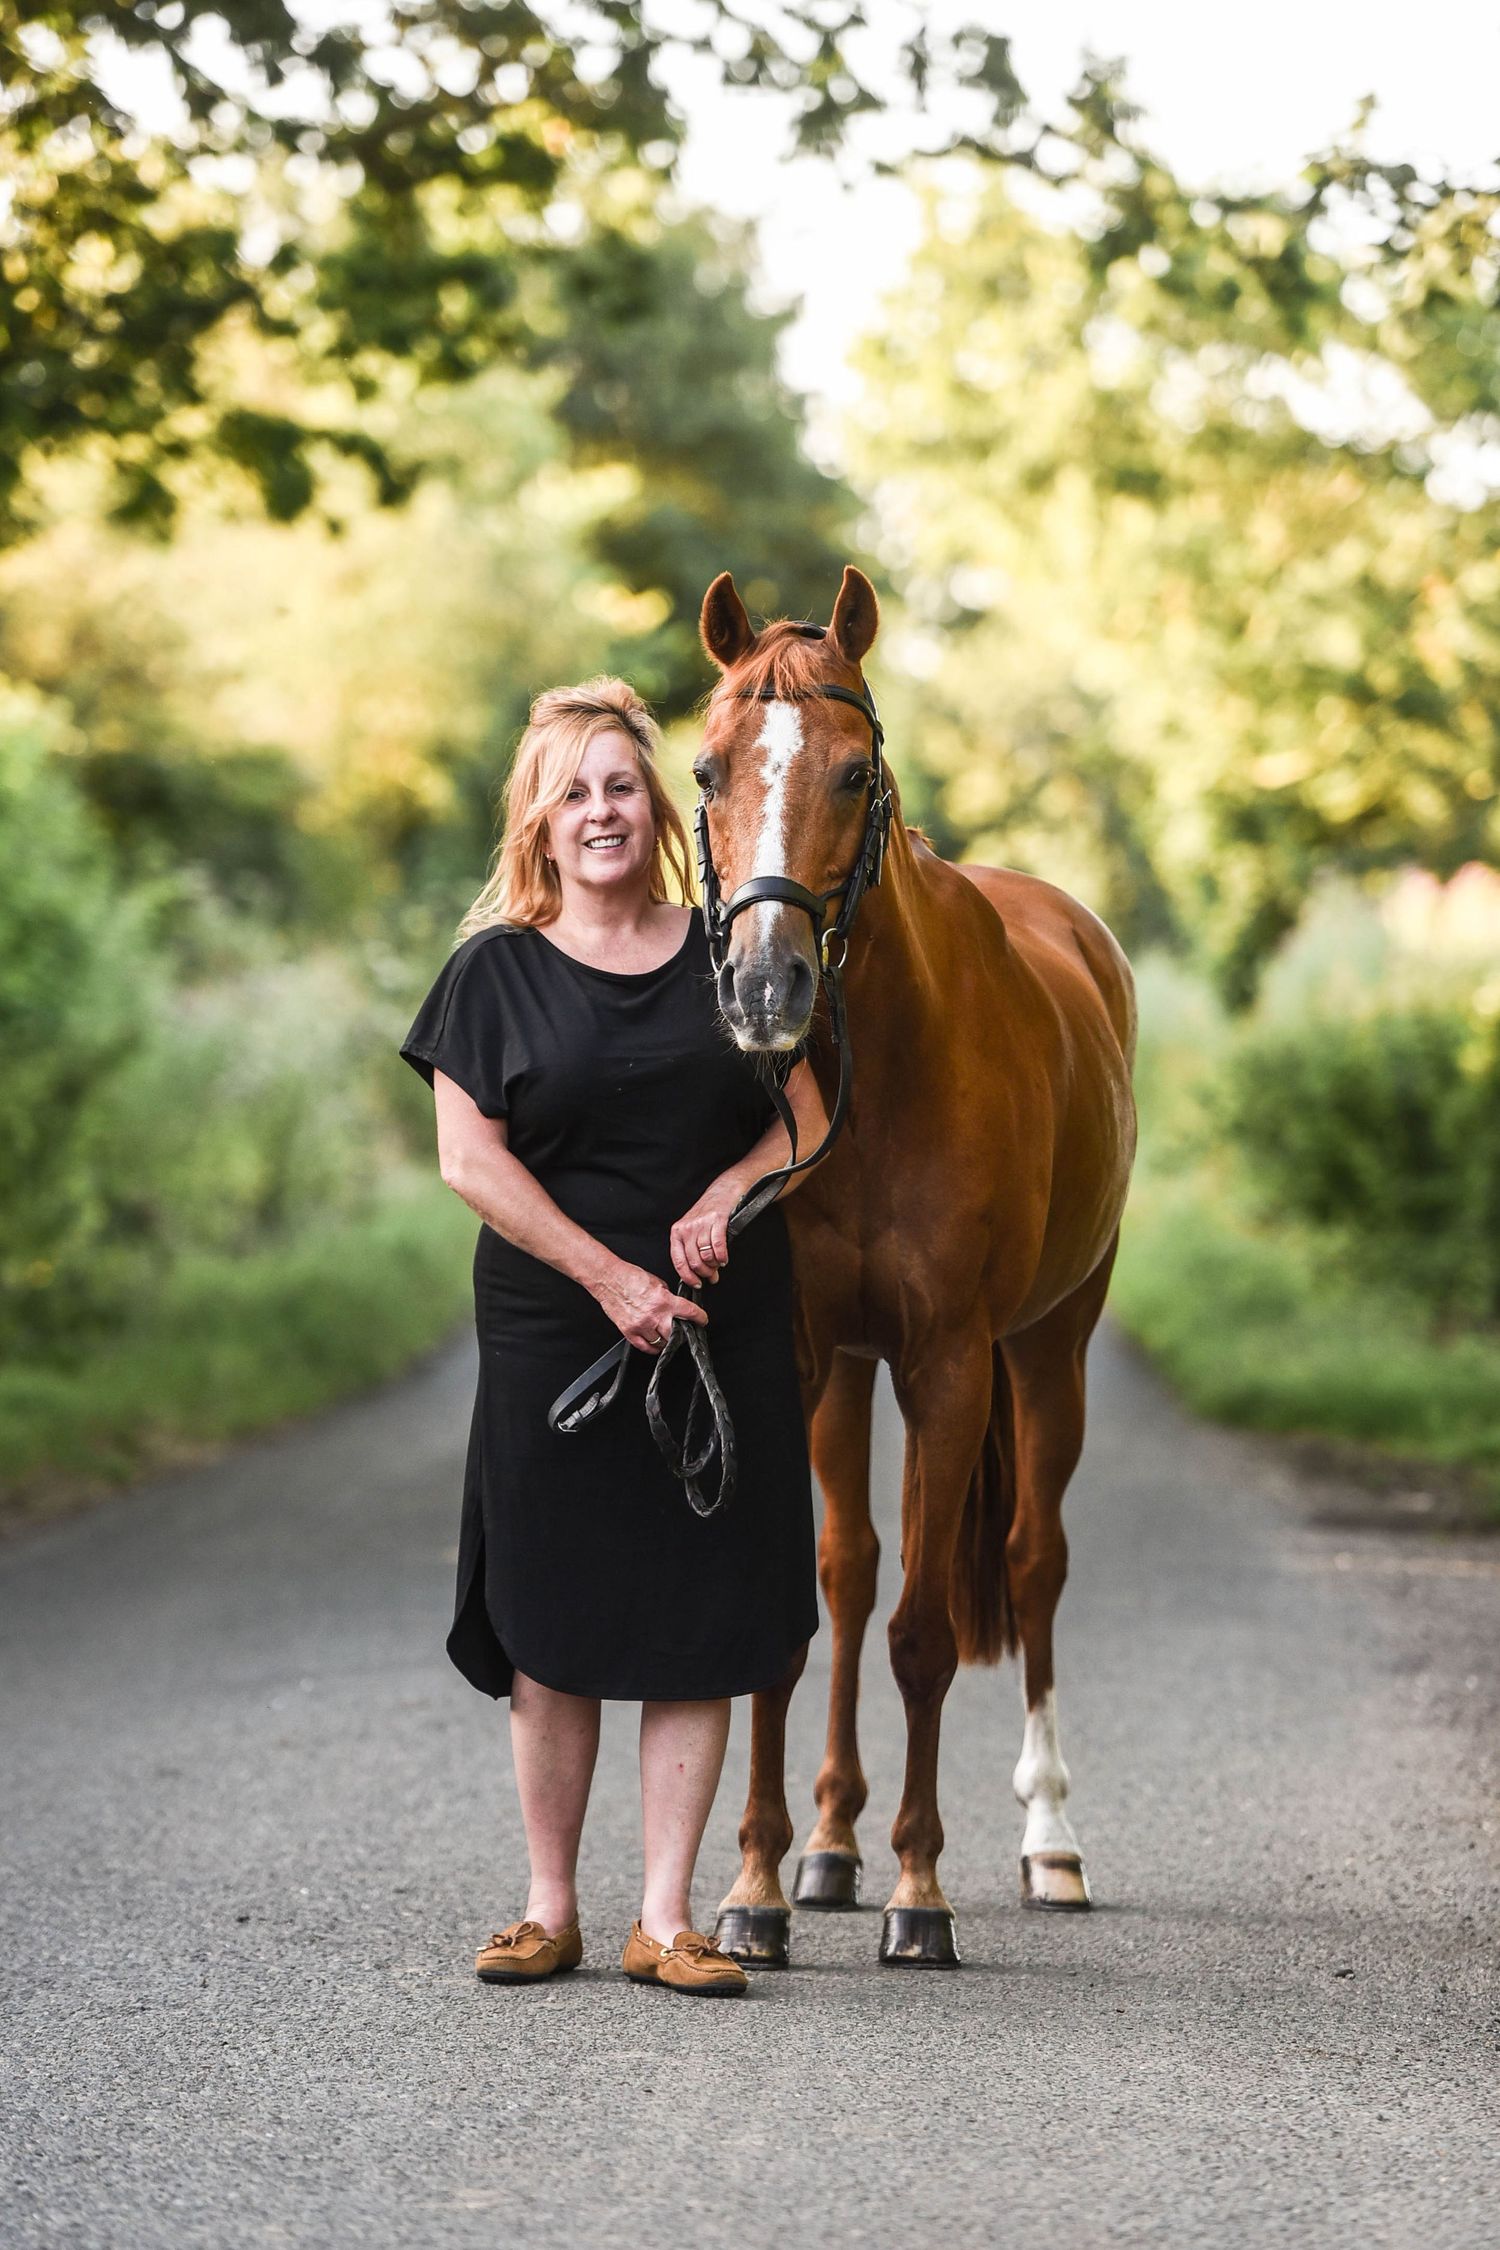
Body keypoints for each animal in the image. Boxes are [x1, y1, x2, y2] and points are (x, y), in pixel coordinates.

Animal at [694, 563, 1138, 1968]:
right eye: (708, 769)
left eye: (854, 773)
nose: (765, 985)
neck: (875, 1075)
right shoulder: (793, 1355)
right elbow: (800, 1620)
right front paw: (759, 1890)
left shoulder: (950, 1361)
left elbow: (930, 1634)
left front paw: (921, 1896)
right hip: (847, 1371)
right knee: (848, 1576)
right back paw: (833, 1846)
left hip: (1050, 1352)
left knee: (1033, 1562)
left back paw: (1050, 1842)